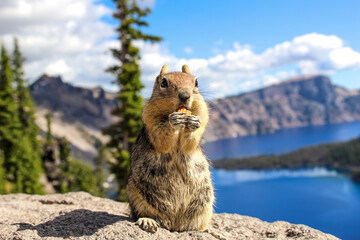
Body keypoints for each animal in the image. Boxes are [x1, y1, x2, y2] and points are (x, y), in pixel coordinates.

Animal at [126, 64, 214, 232]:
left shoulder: (202, 113)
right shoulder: (150, 119)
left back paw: (206, 229)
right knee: (142, 213)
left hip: (206, 202)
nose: (185, 95)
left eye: (196, 82)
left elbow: (190, 143)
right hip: (135, 195)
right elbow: (162, 138)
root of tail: (175, 225)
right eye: (164, 82)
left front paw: (194, 124)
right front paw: (173, 121)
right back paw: (148, 221)